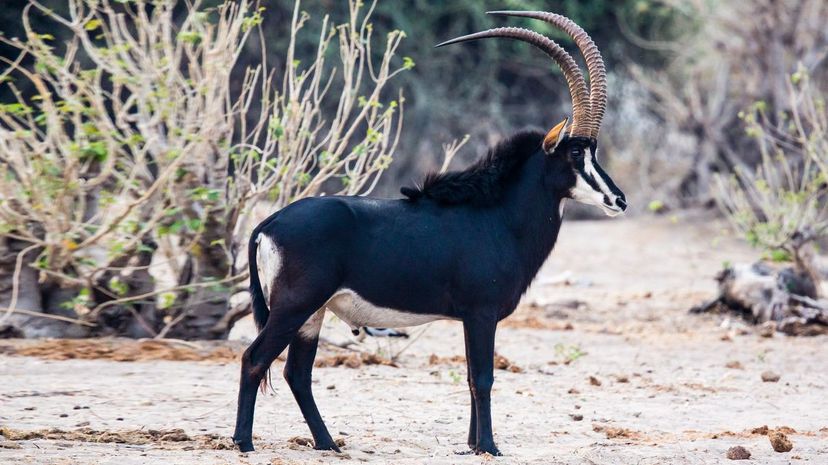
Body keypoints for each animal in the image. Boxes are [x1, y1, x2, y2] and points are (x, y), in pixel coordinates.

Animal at [233, 9, 628, 454]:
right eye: (576, 152)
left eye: (593, 150)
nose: (619, 200)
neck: (498, 216)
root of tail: (268, 224)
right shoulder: (481, 313)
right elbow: (483, 378)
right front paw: (490, 446)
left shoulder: (471, 317)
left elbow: (472, 377)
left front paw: (474, 445)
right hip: (294, 305)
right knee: (255, 359)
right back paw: (244, 442)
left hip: (312, 312)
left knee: (297, 373)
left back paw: (327, 443)